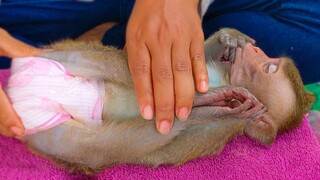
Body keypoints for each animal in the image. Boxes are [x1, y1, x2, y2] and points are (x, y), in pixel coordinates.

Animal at [2, 28, 312, 173]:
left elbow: (159, 151)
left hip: (53, 133)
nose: (256, 50)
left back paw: (199, 104)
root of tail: (19, 92)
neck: (225, 77)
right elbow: (185, 57)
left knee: (103, 147)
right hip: (55, 56)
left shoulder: (221, 133)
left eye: (269, 67)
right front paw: (230, 38)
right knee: (132, 66)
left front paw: (207, 109)